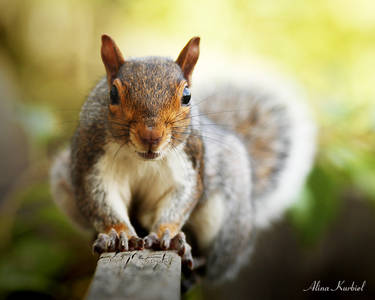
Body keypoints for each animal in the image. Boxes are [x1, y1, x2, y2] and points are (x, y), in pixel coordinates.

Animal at [49, 34, 314, 288]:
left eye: (187, 96)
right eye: (112, 94)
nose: (151, 136)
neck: (143, 160)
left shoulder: (189, 164)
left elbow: (179, 200)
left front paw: (167, 234)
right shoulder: (91, 163)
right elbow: (101, 201)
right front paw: (118, 234)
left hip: (229, 221)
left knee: (214, 267)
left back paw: (196, 266)